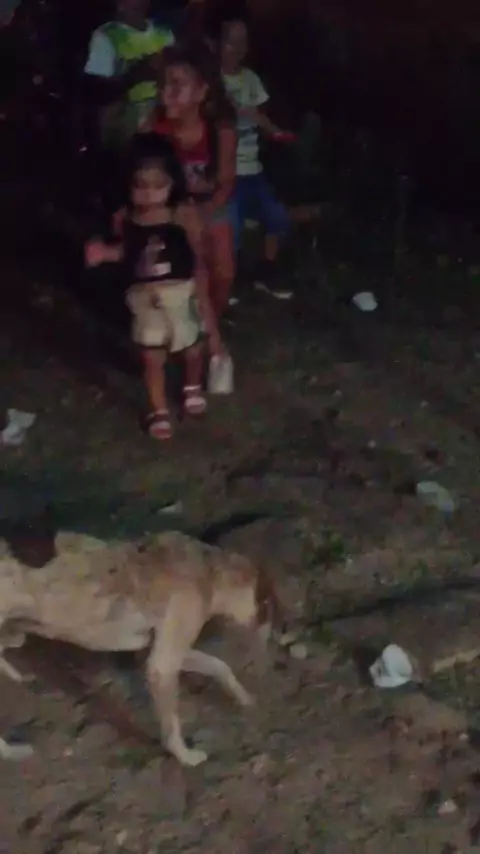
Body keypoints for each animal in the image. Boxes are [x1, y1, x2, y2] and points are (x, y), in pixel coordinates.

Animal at [0, 530, 282, 767]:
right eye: (268, 608)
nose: (271, 655)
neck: (211, 572)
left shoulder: (160, 648)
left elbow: (219, 666)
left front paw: (245, 698)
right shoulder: (163, 662)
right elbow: (171, 724)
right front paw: (186, 756)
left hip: (15, 633)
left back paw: (17, 677)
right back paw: (12, 751)